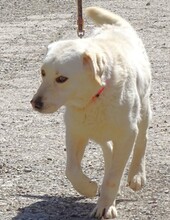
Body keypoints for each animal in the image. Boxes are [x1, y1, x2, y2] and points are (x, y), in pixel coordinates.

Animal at [30, 6, 151, 219]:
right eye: (43, 73)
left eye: (61, 79)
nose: (35, 103)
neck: (94, 97)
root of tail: (115, 27)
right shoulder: (75, 131)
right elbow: (71, 170)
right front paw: (89, 187)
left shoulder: (127, 134)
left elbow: (113, 177)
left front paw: (105, 206)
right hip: (97, 131)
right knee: (108, 150)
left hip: (143, 110)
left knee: (142, 140)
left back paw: (137, 175)